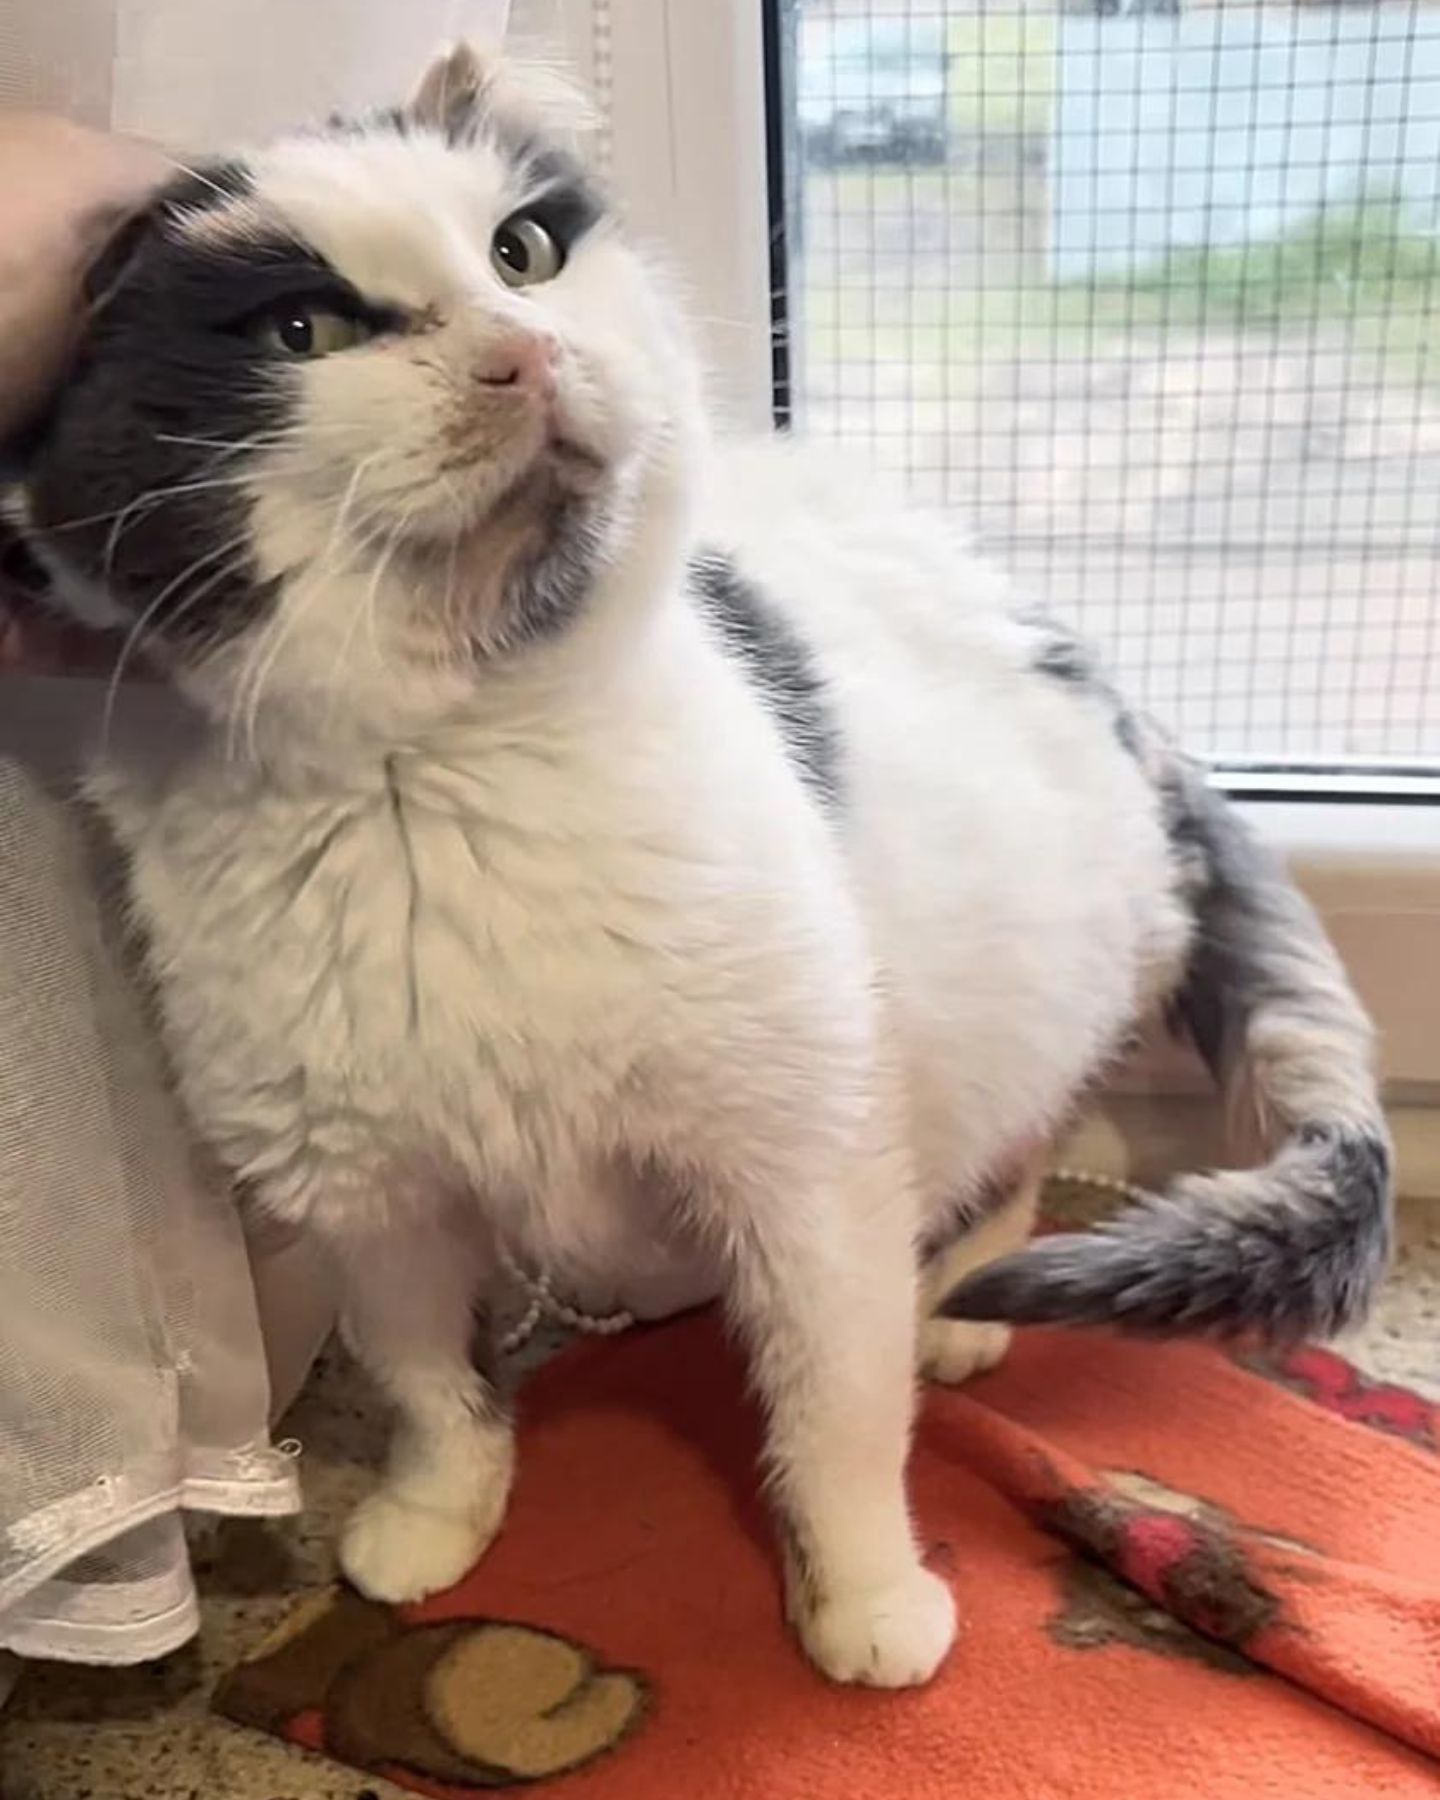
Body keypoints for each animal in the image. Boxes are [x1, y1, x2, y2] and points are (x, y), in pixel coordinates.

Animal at [19, 45, 1396, 1684]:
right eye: (305, 330)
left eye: (520, 252)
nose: (522, 351)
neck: (448, 777)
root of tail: (1065, 633)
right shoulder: (366, 1192)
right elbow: (426, 1379)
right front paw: (439, 1512)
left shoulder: (809, 1161)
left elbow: (837, 1408)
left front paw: (861, 1595)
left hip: (1017, 983)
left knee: (1019, 1159)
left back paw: (955, 1301)